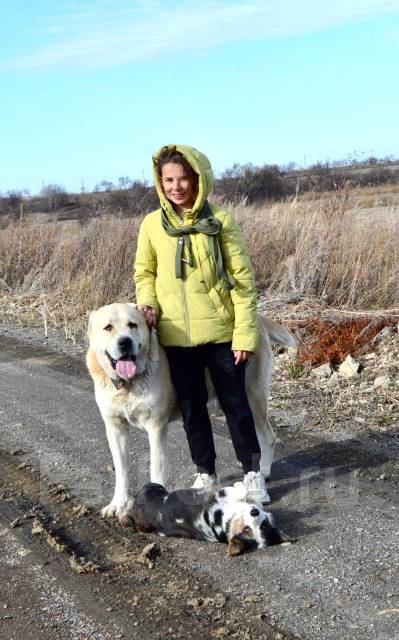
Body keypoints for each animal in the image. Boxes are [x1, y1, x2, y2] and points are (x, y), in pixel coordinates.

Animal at [86, 302, 294, 520]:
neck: (128, 385)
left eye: (132, 325)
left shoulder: (156, 427)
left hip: (251, 397)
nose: (124, 342)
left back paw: (262, 474)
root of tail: (259, 319)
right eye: (108, 327)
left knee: (267, 436)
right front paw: (117, 504)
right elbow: (122, 471)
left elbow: (156, 468)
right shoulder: (115, 428)